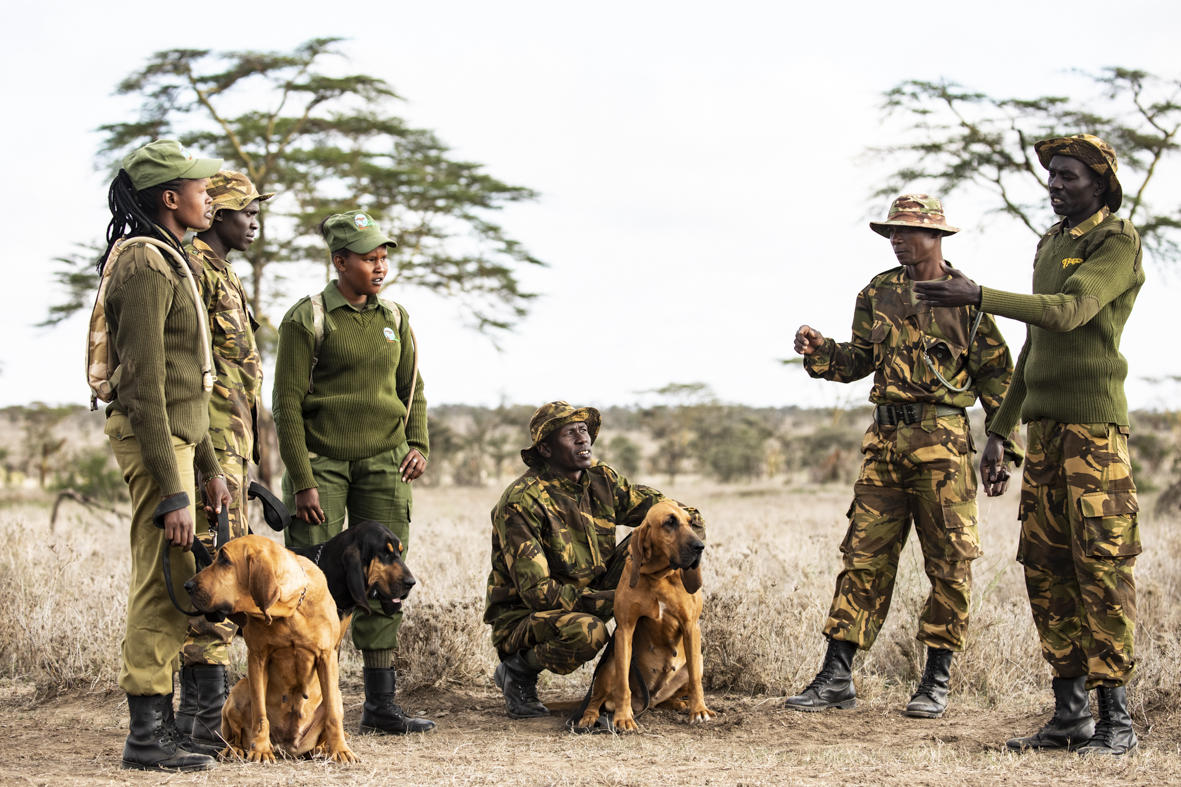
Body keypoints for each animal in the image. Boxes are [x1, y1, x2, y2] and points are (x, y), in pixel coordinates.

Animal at [576, 498, 713, 732]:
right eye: (669, 522)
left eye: (690, 522)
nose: (699, 547)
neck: (660, 576)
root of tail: (649, 699)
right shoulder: (624, 631)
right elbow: (623, 685)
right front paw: (623, 718)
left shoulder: (691, 626)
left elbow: (696, 679)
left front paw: (699, 710)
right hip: (610, 664)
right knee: (595, 698)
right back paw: (589, 717)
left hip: (698, 662)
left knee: (673, 693)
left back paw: (680, 704)